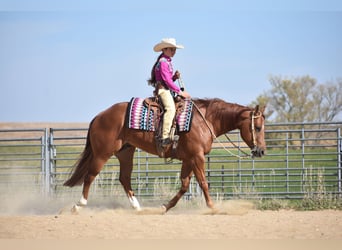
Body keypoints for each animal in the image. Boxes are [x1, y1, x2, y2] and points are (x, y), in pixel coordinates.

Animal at [65, 97, 268, 213]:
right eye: (258, 127)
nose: (261, 151)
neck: (206, 120)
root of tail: (99, 116)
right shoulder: (197, 157)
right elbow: (203, 183)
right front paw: (212, 207)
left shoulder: (188, 159)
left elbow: (185, 186)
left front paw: (165, 207)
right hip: (102, 153)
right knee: (90, 176)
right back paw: (78, 205)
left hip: (125, 152)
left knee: (124, 178)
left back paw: (137, 207)